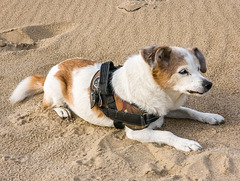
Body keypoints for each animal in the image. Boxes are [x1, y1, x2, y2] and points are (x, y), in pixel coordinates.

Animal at [9, 45, 225, 151]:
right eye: (183, 72)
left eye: (199, 69)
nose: (208, 84)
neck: (160, 90)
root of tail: (54, 69)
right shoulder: (137, 132)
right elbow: (167, 134)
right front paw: (186, 143)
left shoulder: (166, 109)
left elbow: (190, 110)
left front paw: (211, 117)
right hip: (55, 87)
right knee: (47, 104)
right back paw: (62, 109)